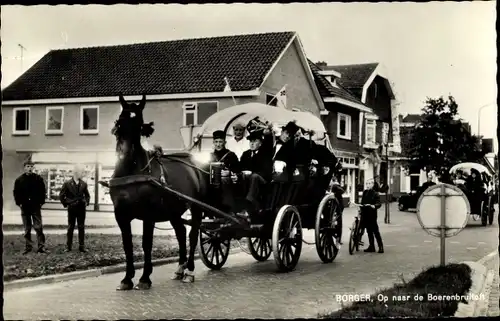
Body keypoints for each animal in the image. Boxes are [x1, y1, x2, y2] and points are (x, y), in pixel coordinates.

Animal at [103, 94, 209, 288]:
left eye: (139, 125)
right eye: (120, 122)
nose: (124, 153)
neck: (131, 171)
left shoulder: (148, 214)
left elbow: (147, 243)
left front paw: (145, 277)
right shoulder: (121, 214)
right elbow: (127, 244)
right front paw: (127, 278)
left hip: (197, 207)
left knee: (192, 235)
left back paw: (189, 270)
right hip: (173, 210)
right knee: (181, 233)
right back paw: (180, 269)